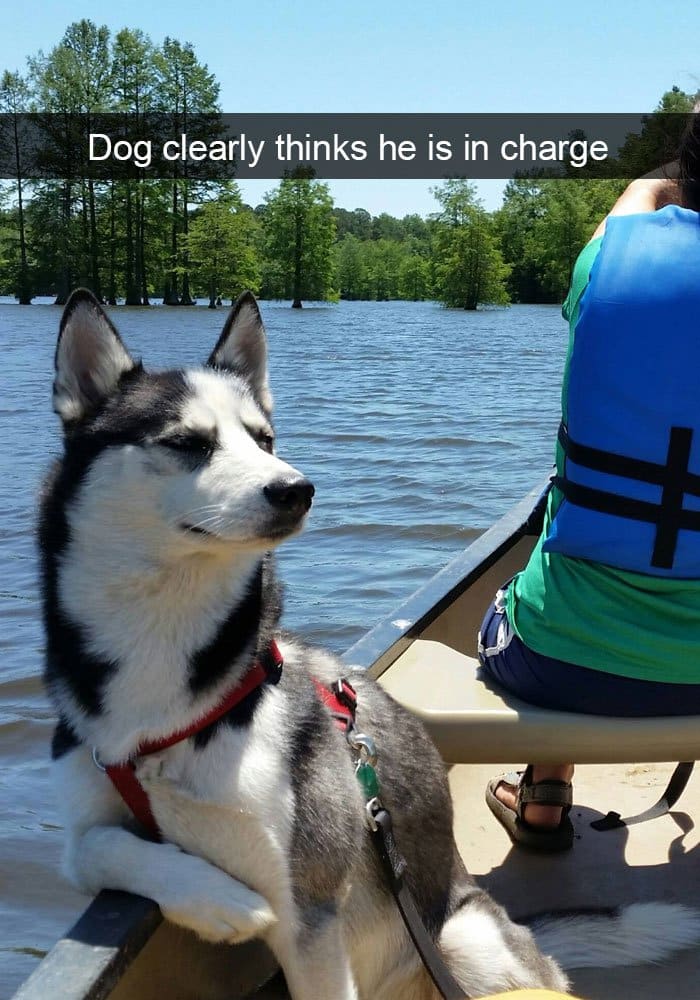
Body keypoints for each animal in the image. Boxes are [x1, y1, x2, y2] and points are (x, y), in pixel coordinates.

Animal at [41, 288, 700, 992]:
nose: (296, 489)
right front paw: (217, 900)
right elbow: (94, 846)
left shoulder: (310, 912)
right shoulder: (88, 822)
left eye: (263, 438)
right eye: (187, 442)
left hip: (466, 939)